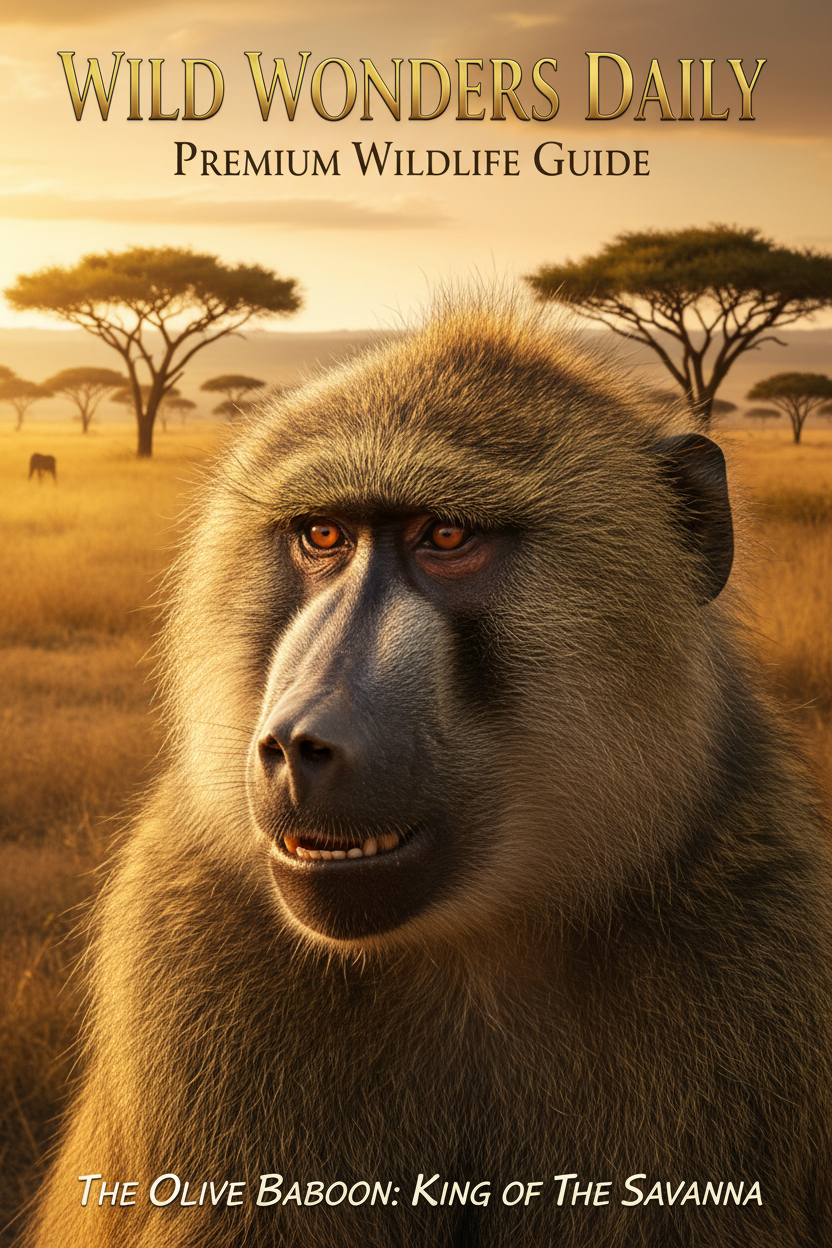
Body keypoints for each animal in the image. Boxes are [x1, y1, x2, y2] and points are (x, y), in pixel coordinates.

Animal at [25, 301, 832, 1248]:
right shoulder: (183, 939)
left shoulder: (764, 923)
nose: (300, 742)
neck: (470, 950)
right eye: (323, 535)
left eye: (447, 537)